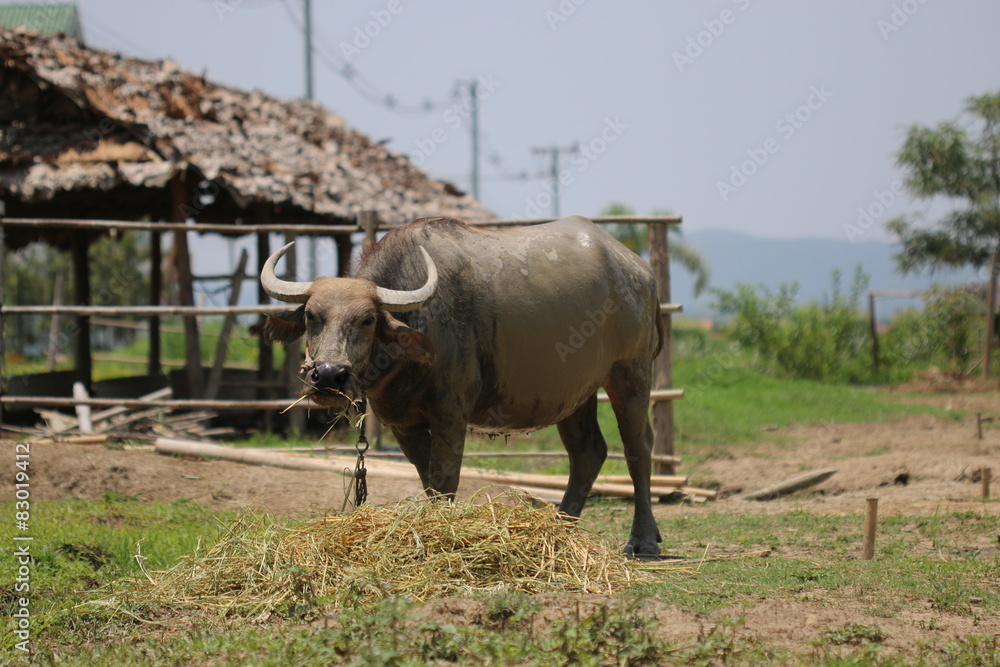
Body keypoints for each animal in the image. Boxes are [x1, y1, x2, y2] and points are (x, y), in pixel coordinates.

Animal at [262, 217, 664, 556]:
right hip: (574, 393)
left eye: (367, 319)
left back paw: (642, 541)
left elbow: (445, 477)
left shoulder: (450, 413)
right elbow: (428, 478)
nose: (329, 374)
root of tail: (640, 272)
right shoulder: (403, 424)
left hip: (630, 373)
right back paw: (561, 528)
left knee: (638, 448)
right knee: (588, 452)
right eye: (311, 316)